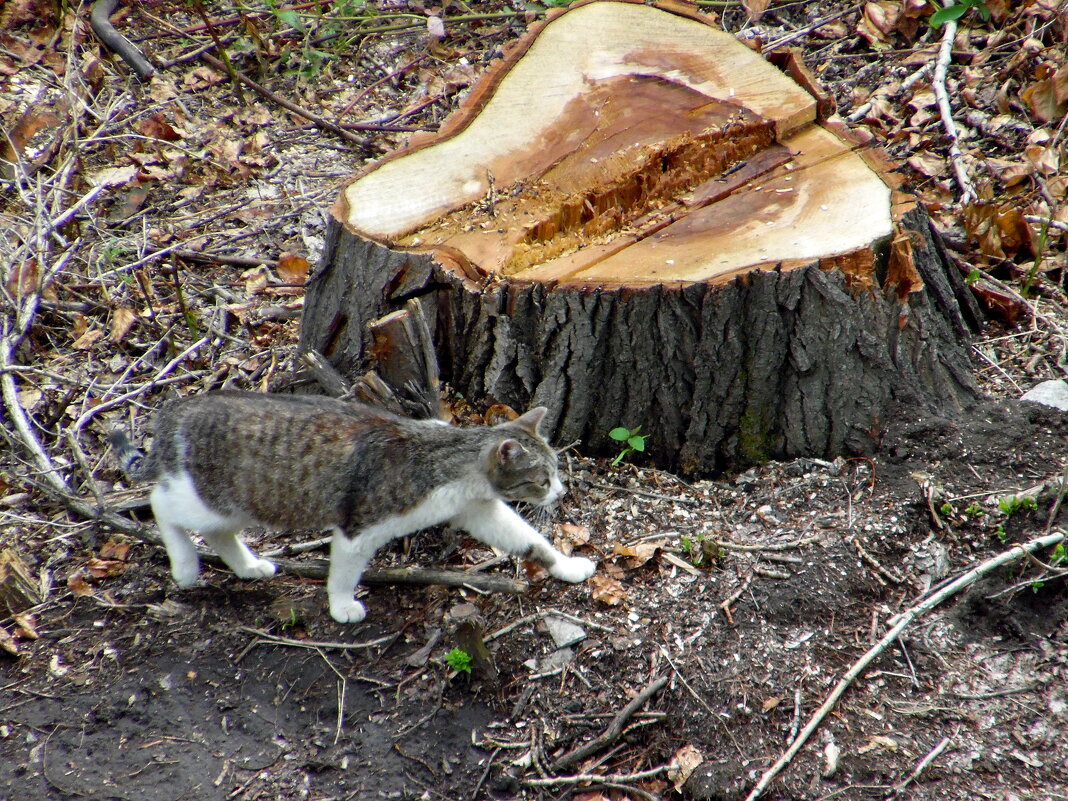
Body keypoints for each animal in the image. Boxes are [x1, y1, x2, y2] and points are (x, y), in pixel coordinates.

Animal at [109, 393, 598, 623]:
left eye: (557, 472)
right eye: (542, 479)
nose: (559, 493)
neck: (448, 459)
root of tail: (179, 407)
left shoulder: (478, 510)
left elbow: (531, 541)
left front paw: (566, 565)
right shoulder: (358, 526)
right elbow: (343, 571)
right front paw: (342, 605)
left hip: (242, 503)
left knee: (217, 531)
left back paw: (247, 566)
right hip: (208, 496)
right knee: (162, 505)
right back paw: (185, 566)